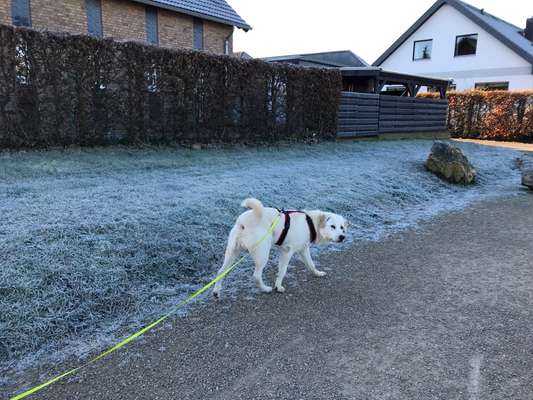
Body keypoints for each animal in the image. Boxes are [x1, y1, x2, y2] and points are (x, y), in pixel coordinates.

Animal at [213, 198, 350, 296]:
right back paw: (266, 289)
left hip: (232, 252)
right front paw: (278, 287)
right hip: (262, 254)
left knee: (221, 272)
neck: (311, 222)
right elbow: (283, 271)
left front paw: (317, 273)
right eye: (332, 226)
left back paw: (216, 291)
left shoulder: (303, 250)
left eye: (342, 227)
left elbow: (311, 264)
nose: (342, 237)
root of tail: (244, 221)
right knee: (256, 276)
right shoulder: (287, 251)